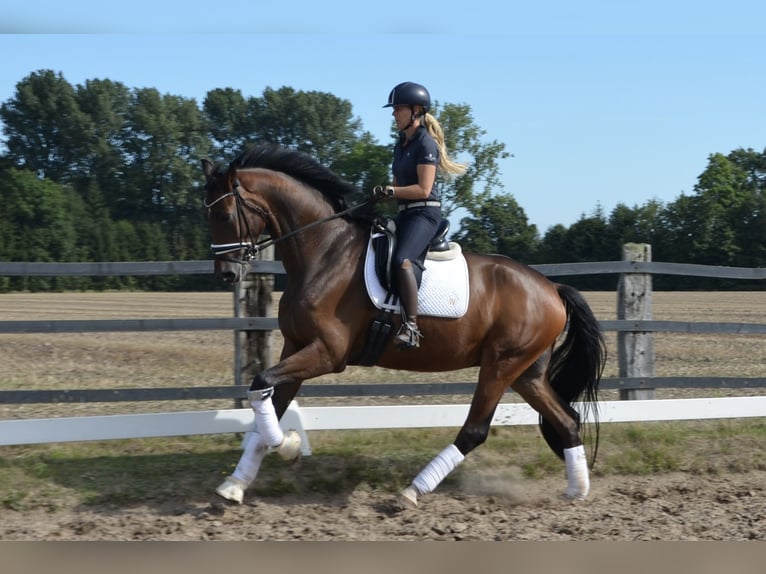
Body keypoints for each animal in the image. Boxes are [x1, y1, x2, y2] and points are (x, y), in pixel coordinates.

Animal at [200, 142, 606, 508]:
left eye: (224, 214)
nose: (226, 275)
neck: (324, 252)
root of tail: (551, 288)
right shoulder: (296, 346)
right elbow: (268, 399)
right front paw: (236, 483)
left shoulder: (327, 353)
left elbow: (262, 384)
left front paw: (287, 446)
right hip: (525, 371)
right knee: (567, 420)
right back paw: (578, 490)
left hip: (500, 365)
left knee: (475, 430)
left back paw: (412, 491)